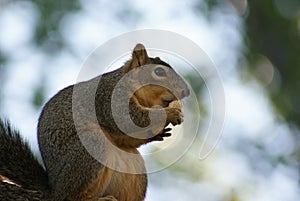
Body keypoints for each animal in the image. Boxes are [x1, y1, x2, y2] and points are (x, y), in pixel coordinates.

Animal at [0, 44, 190, 201]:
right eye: (159, 72)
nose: (186, 91)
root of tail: (54, 189)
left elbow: (129, 137)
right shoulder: (109, 98)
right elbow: (133, 119)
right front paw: (171, 113)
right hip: (90, 148)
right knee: (71, 197)